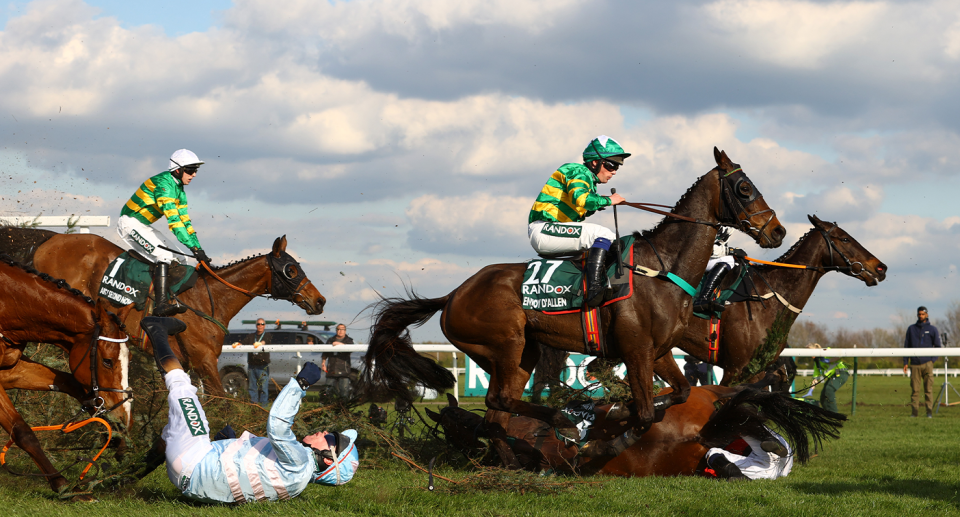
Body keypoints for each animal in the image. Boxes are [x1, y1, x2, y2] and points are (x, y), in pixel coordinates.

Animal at [0, 232, 326, 394]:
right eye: (291, 269)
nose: (320, 301)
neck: (208, 300)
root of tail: (47, 242)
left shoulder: (186, 364)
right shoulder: (204, 361)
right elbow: (226, 401)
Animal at [0, 256, 129, 498]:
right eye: (107, 361)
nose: (123, 414)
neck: (6, 304)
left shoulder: (10, 370)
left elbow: (70, 382)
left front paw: (116, 434)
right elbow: (22, 431)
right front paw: (60, 482)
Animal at [368, 146, 788, 468]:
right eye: (744, 188)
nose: (778, 230)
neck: (663, 268)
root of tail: (453, 294)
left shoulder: (659, 351)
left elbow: (680, 392)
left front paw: (622, 413)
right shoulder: (636, 350)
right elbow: (646, 412)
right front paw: (605, 440)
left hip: (523, 352)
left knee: (495, 412)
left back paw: (511, 460)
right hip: (506, 342)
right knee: (498, 400)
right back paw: (559, 423)